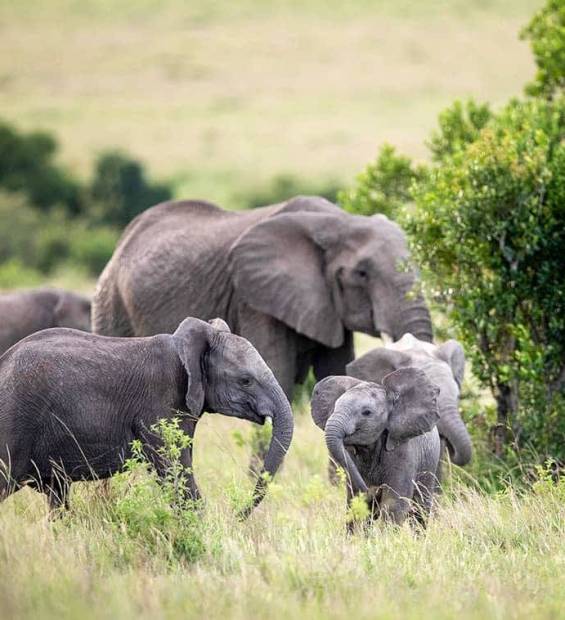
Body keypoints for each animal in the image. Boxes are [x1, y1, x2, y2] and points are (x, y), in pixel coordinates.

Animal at [1, 314, 296, 512]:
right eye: (245, 381)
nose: (238, 513)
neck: (183, 347)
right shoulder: (160, 404)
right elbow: (175, 473)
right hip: (14, 422)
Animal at [92, 194, 430, 398]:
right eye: (362, 274)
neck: (338, 221)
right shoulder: (255, 301)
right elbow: (275, 375)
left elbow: (335, 377)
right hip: (112, 307)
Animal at [310, 368, 438, 528]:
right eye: (334, 407)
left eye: (367, 412)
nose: (374, 490)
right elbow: (354, 502)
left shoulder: (404, 451)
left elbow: (393, 503)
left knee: (420, 510)